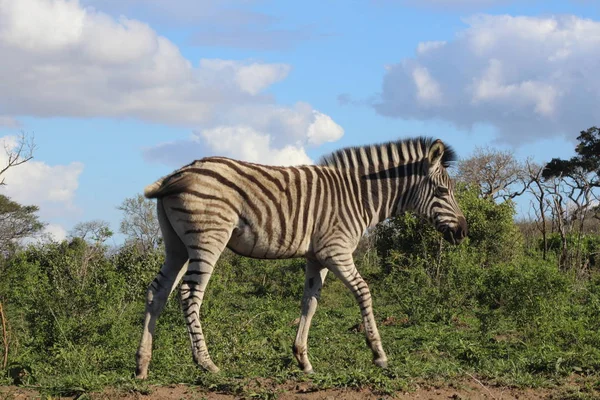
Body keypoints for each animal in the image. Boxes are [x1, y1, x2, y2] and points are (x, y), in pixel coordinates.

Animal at [134, 135, 466, 378]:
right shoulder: (336, 251)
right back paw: (205, 362)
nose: (462, 232)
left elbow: (310, 302)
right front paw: (379, 355)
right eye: (441, 191)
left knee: (157, 292)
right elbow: (363, 292)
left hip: (176, 245)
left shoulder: (317, 256)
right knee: (189, 293)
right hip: (208, 239)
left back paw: (142, 365)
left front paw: (302, 359)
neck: (359, 197)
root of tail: (176, 174)